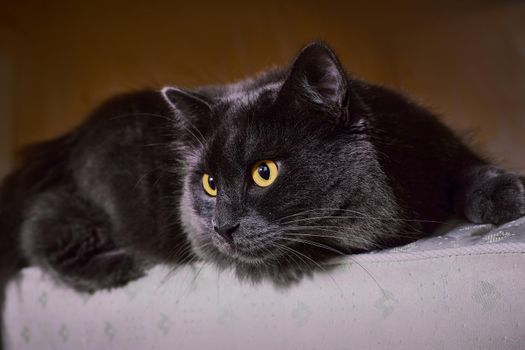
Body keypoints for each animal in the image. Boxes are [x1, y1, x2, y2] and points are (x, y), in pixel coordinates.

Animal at [1, 41, 524, 292]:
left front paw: (509, 195)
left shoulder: (438, 144)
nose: (222, 227)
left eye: (264, 172)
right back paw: (126, 261)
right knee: (39, 235)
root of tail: (63, 144)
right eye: (210, 183)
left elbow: (472, 171)